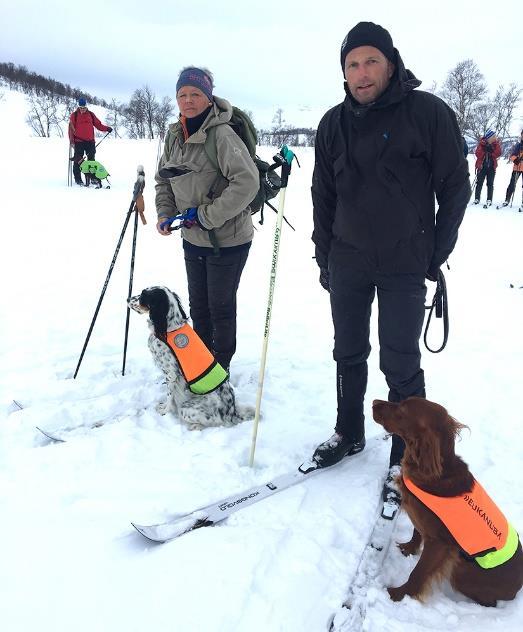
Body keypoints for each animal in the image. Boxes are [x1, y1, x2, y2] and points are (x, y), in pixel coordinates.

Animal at [127, 286, 254, 430]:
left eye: (143, 295)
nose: (127, 299)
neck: (169, 328)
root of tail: (232, 413)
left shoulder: (171, 374)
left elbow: (169, 396)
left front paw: (165, 410)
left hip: (186, 409)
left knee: (214, 423)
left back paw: (194, 426)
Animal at [372, 396, 523, 608]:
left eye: (402, 409)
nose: (373, 402)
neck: (435, 475)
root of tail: (518, 588)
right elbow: (416, 532)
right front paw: (408, 548)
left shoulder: (439, 544)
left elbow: (418, 573)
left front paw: (397, 594)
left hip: (460, 571)